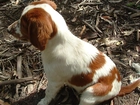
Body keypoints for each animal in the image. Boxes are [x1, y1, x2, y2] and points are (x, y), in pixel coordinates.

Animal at [7, 0, 140, 104]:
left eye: (23, 24)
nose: (8, 29)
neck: (58, 43)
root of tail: (118, 86)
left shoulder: (54, 81)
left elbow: (48, 93)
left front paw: (43, 102)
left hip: (90, 93)